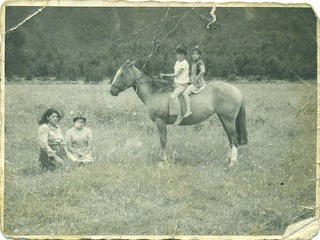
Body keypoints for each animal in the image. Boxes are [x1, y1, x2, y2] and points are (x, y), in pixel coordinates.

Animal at [110, 60, 248, 167]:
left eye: (122, 74)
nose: (111, 91)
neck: (155, 92)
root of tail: (237, 90)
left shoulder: (161, 121)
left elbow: (163, 140)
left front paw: (163, 160)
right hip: (223, 119)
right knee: (230, 139)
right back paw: (227, 160)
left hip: (228, 120)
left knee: (234, 139)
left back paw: (232, 163)